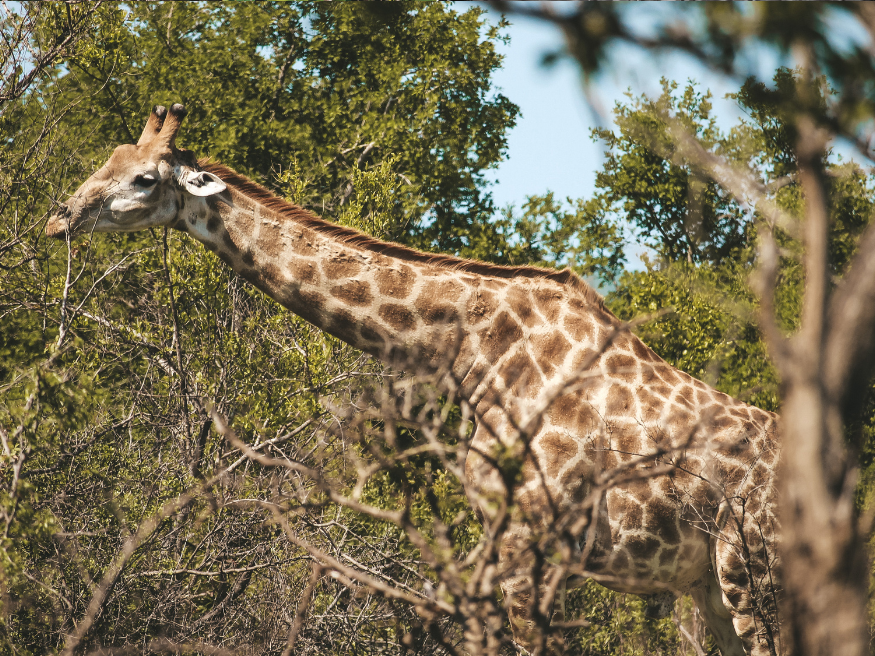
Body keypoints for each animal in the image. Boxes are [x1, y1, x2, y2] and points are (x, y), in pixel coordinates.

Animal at [46, 104, 782, 656]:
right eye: (107, 159)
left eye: (144, 179)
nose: (59, 215)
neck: (471, 349)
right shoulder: (502, 536)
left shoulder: (531, 541)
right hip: (708, 589)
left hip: (754, 573)